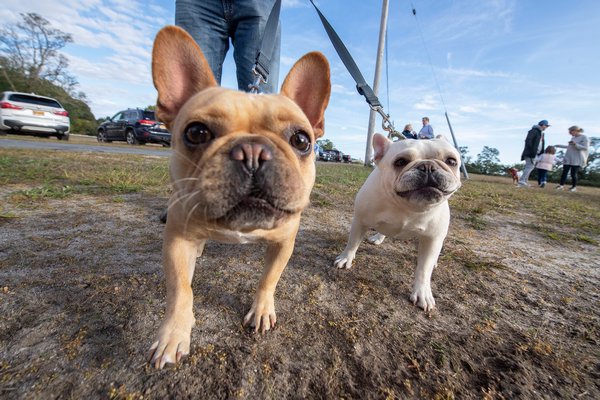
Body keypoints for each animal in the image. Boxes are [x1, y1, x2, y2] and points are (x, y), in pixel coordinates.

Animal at [148, 25, 330, 368]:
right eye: (196, 133)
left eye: (301, 140)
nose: (253, 152)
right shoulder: (176, 242)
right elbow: (181, 289)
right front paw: (173, 333)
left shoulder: (284, 243)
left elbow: (269, 278)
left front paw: (261, 310)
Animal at [336, 134, 462, 312]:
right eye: (400, 162)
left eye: (451, 161)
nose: (428, 166)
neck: (405, 206)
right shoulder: (360, 221)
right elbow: (353, 243)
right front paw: (345, 258)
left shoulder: (433, 238)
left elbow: (424, 269)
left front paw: (422, 293)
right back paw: (378, 237)